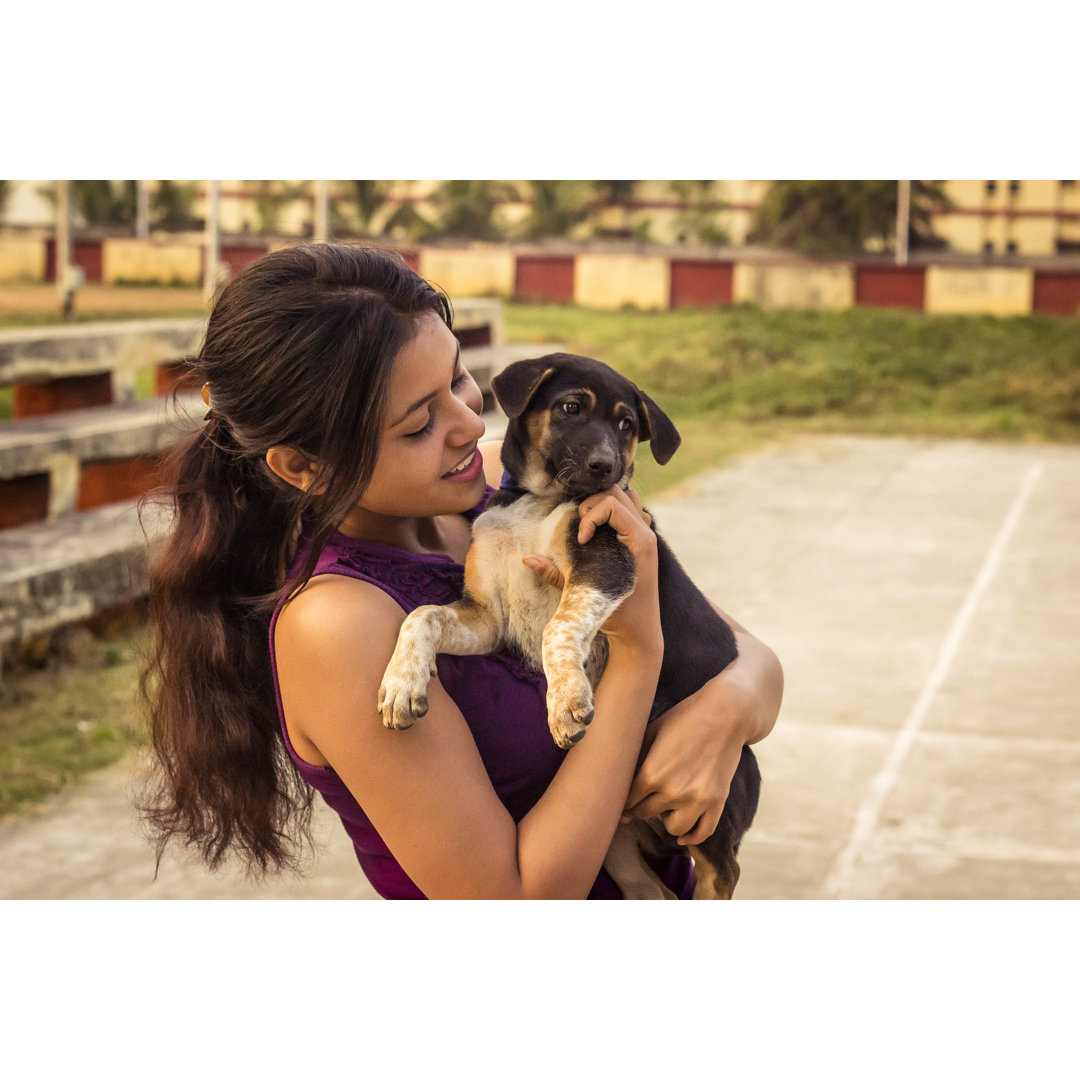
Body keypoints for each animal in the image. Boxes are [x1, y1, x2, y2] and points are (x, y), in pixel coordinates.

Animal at [380, 356, 760, 902]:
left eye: (627, 425)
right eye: (571, 407)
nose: (607, 467)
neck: (539, 503)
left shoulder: (605, 561)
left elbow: (557, 627)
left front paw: (564, 703)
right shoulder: (486, 618)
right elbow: (422, 613)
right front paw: (400, 684)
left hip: (712, 813)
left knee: (721, 872)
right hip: (615, 842)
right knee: (654, 892)